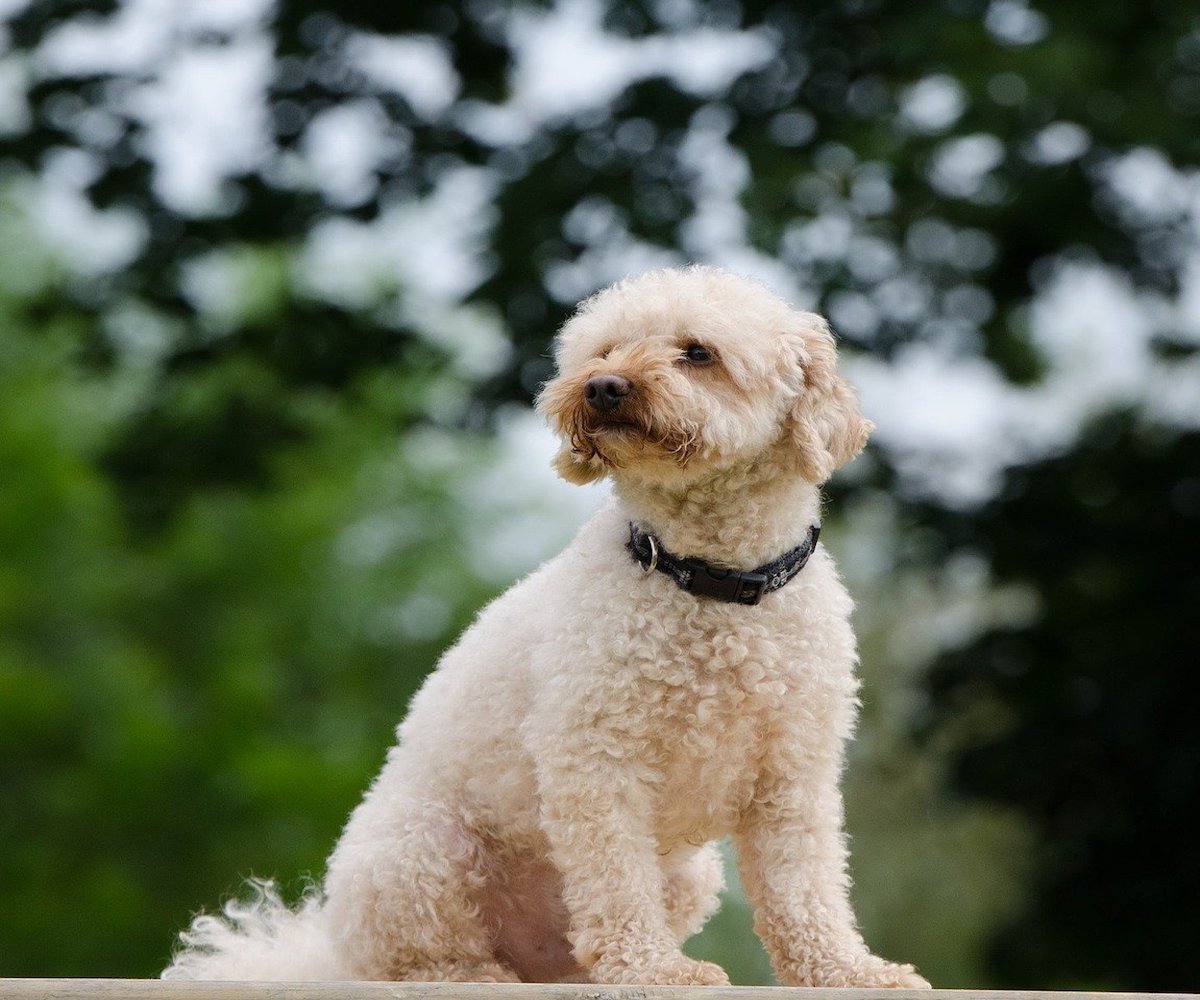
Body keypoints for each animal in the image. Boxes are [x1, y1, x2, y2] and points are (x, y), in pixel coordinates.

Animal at [162, 267, 926, 989]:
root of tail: (329, 949)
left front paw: (849, 972)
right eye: (604, 349)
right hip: (419, 853)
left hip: (686, 874)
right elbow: (617, 882)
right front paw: (654, 970)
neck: (712, 584)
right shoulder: (596, 760)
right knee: (422, 957)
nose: (603, 387)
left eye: (698, 352)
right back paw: (477, 974)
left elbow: (807, 890)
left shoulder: (793, 776)